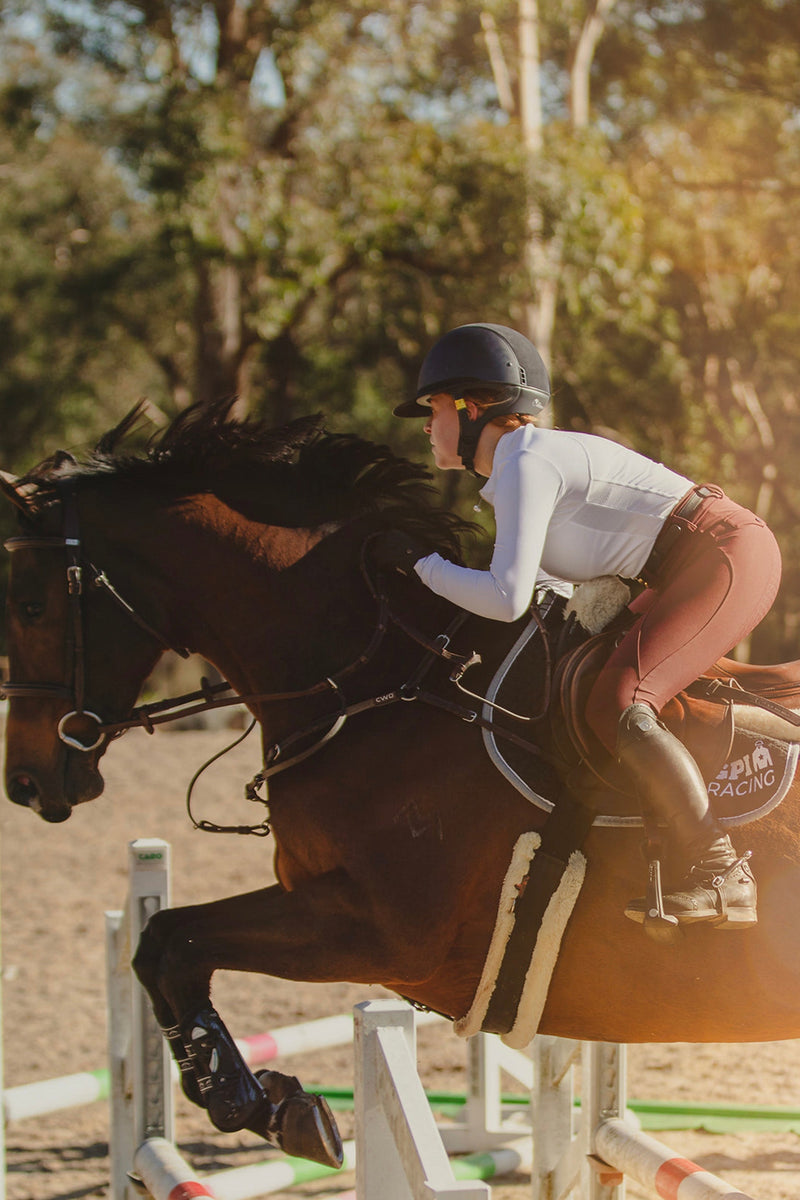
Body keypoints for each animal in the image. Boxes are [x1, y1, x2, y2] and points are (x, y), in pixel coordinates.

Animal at [1, 398, 800, 1166]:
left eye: (30, 606)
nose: (26, 782)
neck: (380, 682)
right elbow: (158, 944)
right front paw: (271, 1103)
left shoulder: (383, 931)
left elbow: (176, 942)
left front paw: (249, 1100)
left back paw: (715, 890)